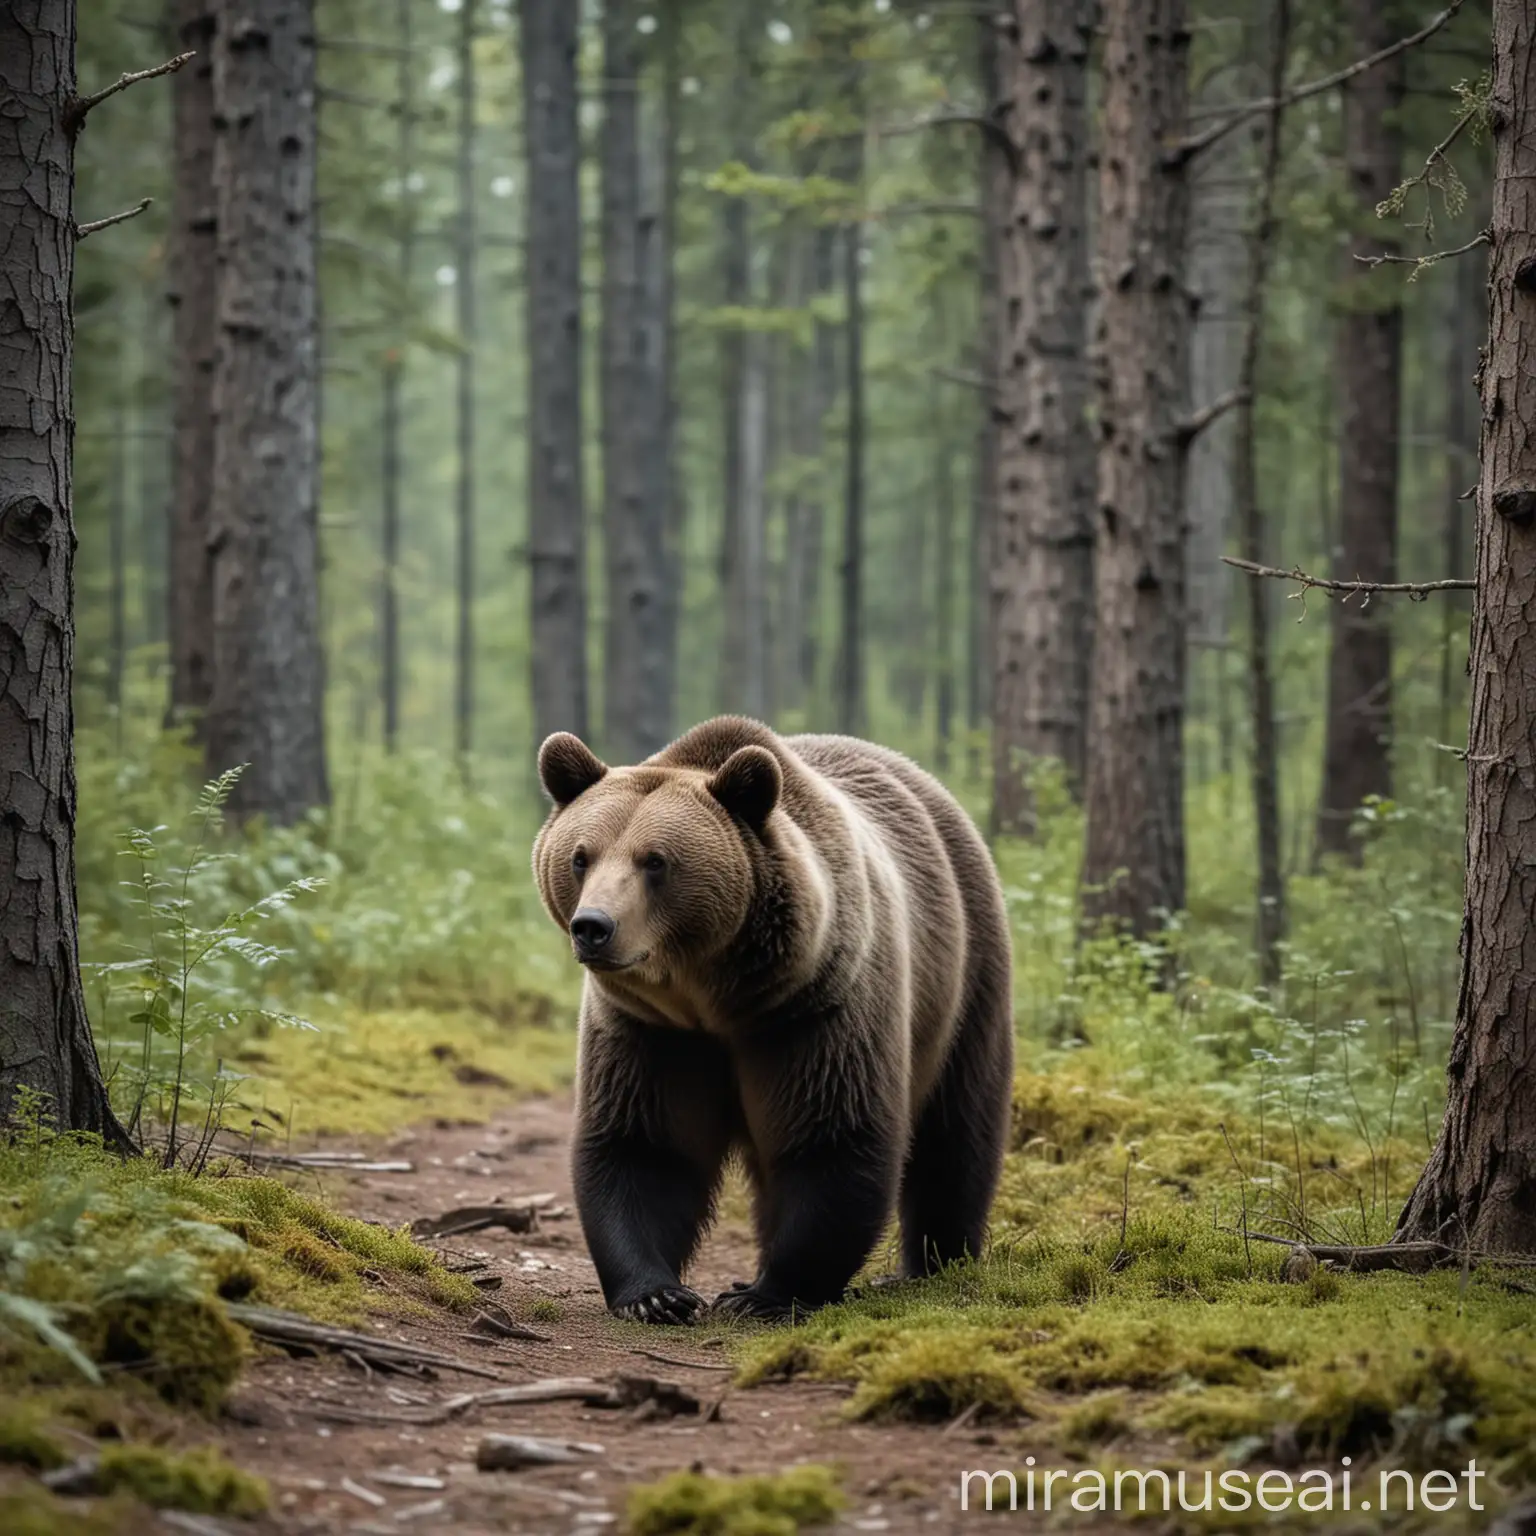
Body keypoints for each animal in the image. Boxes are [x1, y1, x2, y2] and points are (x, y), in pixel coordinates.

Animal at [534, 712, 1013, 1327]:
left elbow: (832, 1137)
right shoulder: (649, 1029)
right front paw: (656, 1294)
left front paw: (766, 1293)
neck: (713, 998)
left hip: (966, 975)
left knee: (955, 1133)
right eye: (580, 856)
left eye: (655, 861)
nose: (593, 926)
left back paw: (937, 1260)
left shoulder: (815, 1012)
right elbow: (644, 1142)